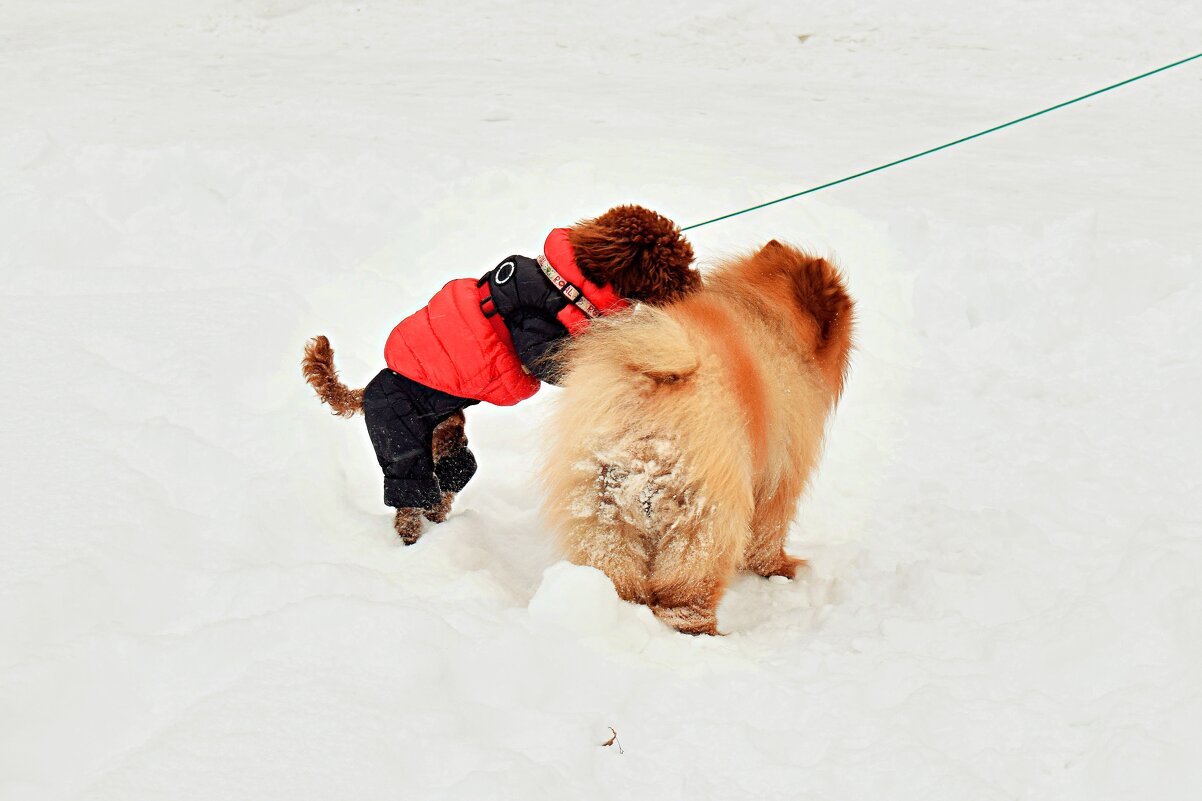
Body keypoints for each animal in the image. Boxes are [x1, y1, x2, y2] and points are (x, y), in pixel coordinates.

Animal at [540, 240, 851, 635]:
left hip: (600, 506)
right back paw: (703, 630)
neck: (770, 316)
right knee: (688, 586)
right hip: (707, 513)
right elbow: (768, 533)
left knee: (616, 566)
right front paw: (779, 570)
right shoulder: (781, 474)